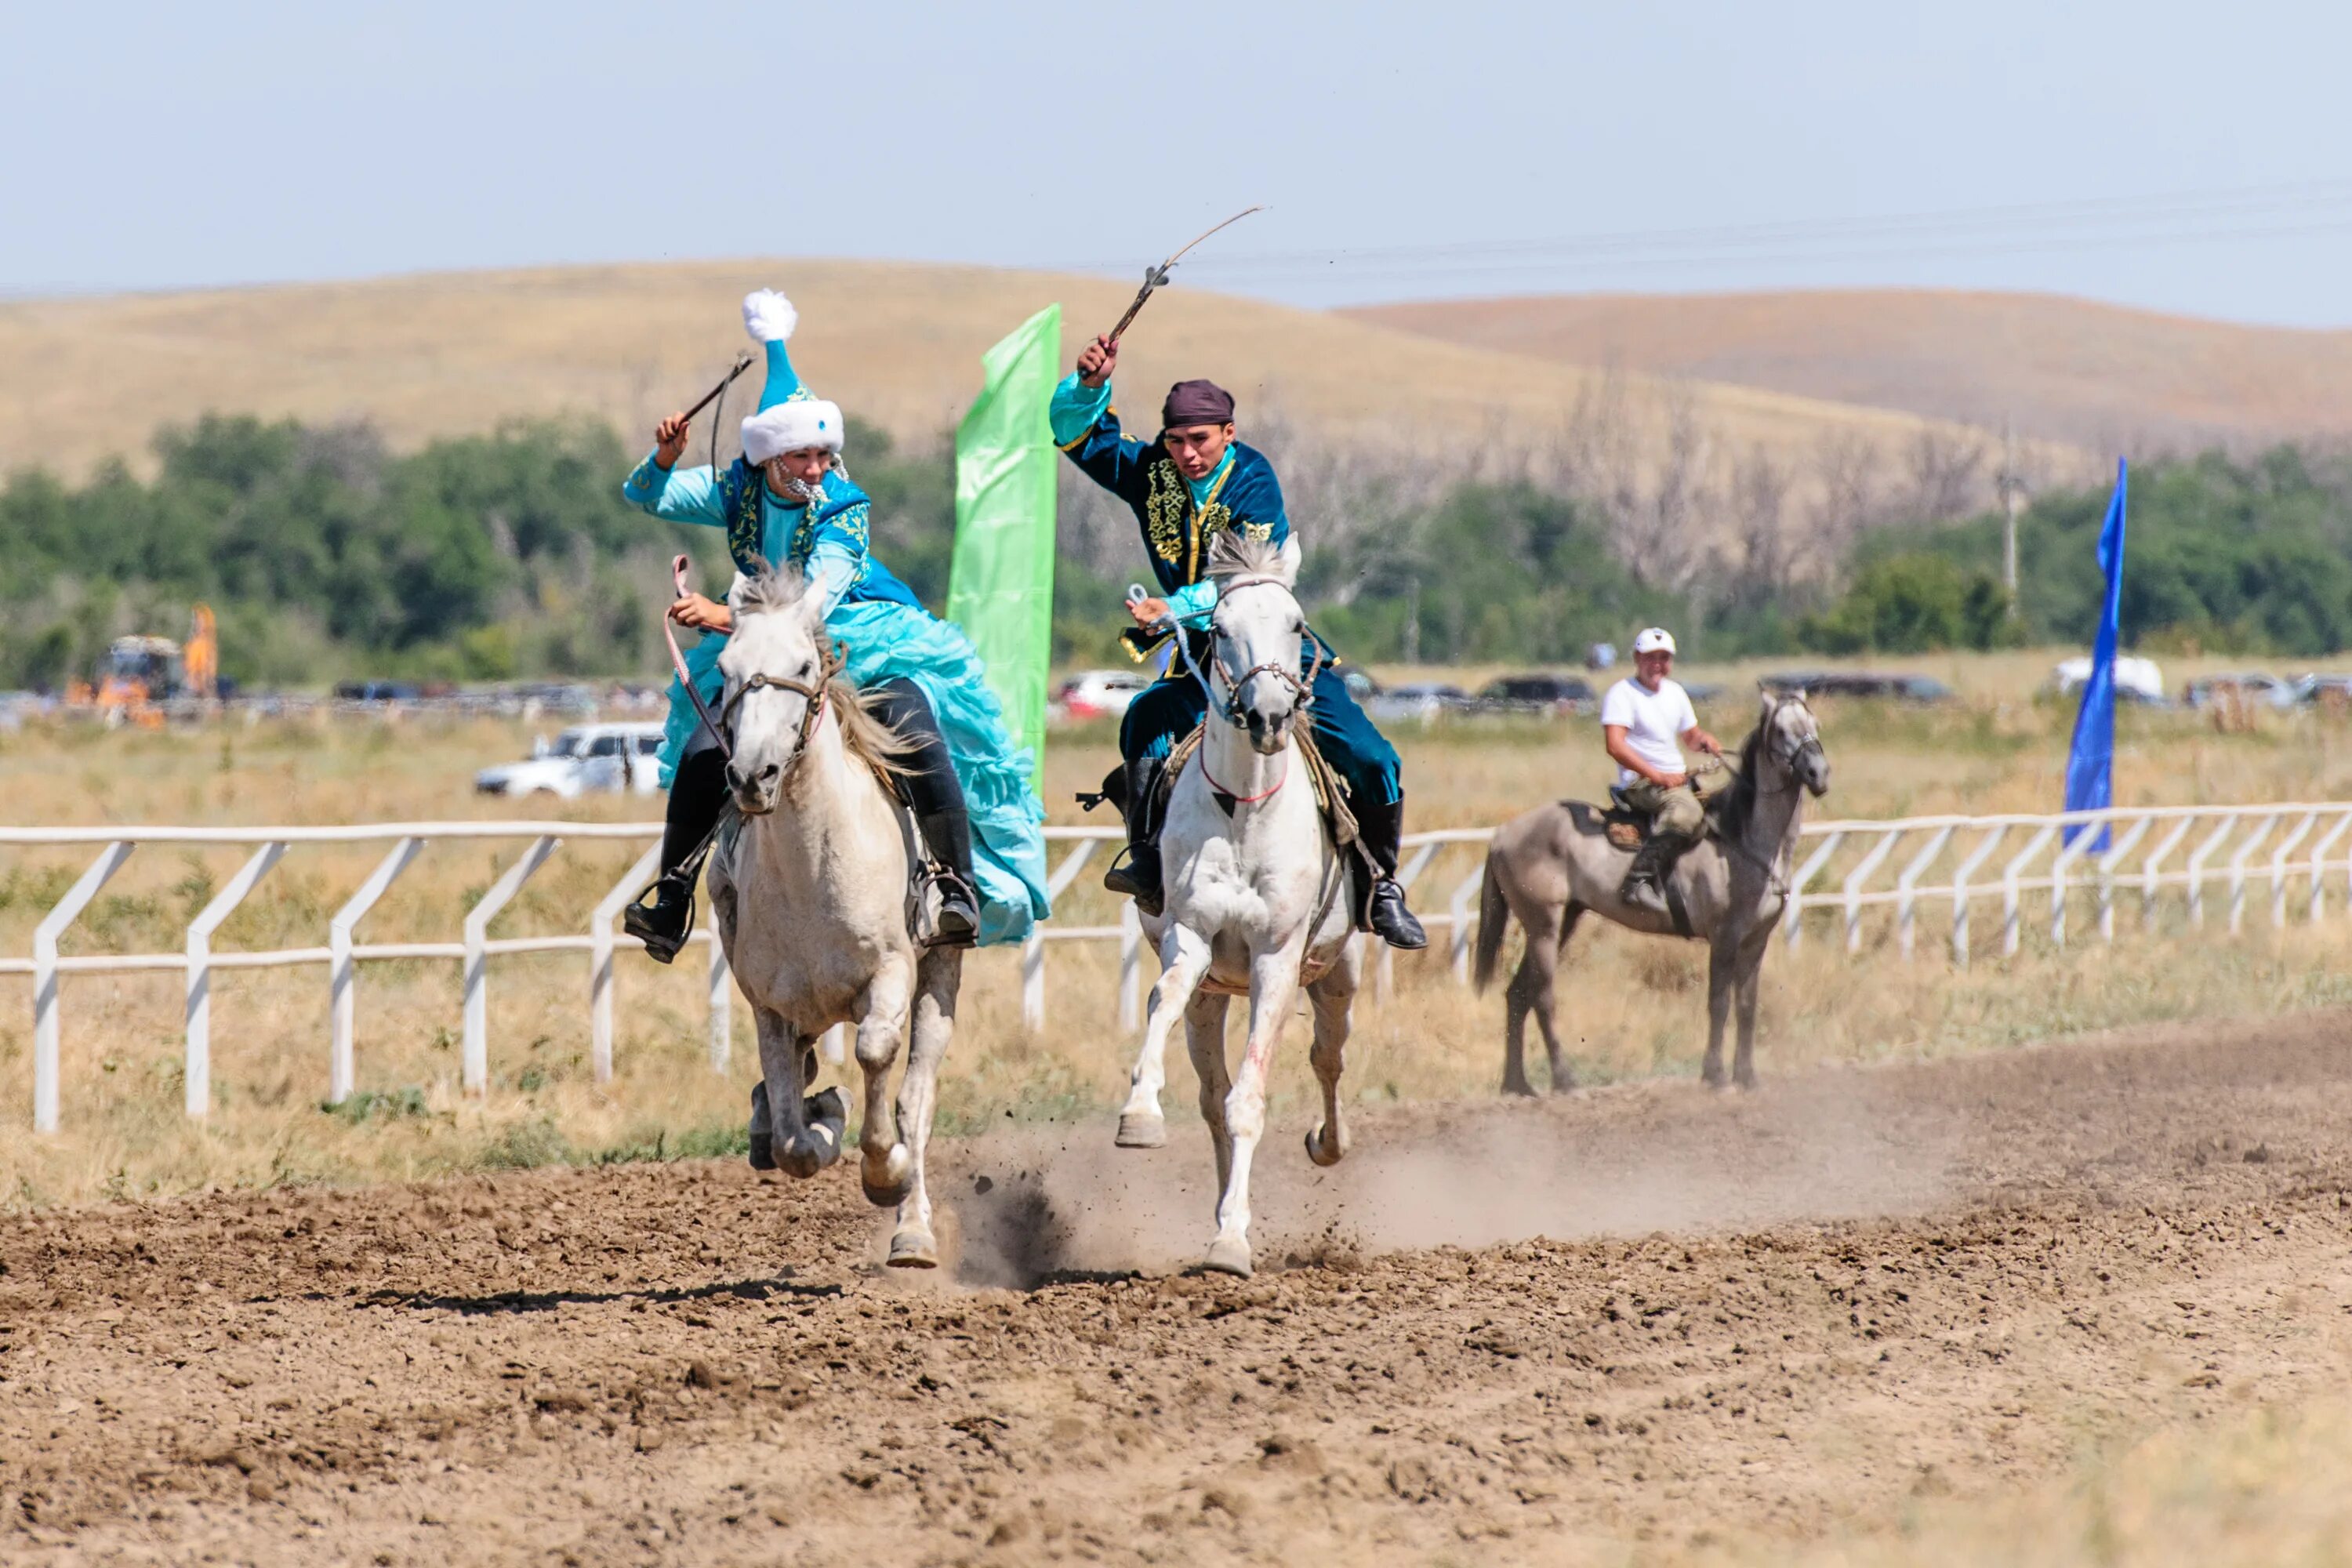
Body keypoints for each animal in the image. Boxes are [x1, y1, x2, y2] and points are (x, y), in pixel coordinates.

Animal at [701, 571, 960, 1269]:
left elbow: (875, 1055)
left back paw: (913, 1232)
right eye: (726, 669)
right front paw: (822, 1119)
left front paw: (882, 1172)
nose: (752, 775)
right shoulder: (769, 1003)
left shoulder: (892, 972)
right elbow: (792, 1140)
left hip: (941, 973)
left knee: (916, 1099)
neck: (812, 866)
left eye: (803, 666)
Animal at [1115, 533, 1364, 1279]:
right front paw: (1140, 1114)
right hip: (1213, 995)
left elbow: (1250, 1098)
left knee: (1327, 1058)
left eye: (1296, 622)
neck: (1246, 808)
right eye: (1219, 629)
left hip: (1339, 974)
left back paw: (1326, 1143)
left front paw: (1231, 1242)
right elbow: (1162, 1001)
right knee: (1209, 1093)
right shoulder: (1192, 937)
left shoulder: (1277, 960)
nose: (1269, 715)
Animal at [1468, 691, 1835, 1100]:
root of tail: (1504, 833)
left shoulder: (1756, 940)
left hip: (1563, 921)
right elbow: (1719, 1003)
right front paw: (1715, 1076)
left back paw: (1516, 1084)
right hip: (1543, 925)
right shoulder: (1724, 937)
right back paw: (1565, 1081)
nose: (1819, 774)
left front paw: (1747, 1077)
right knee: (1543, 997)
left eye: (1815, 725)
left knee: (1518, 994)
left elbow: (1746, 1006)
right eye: (1783, 731)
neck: (1741, 839)